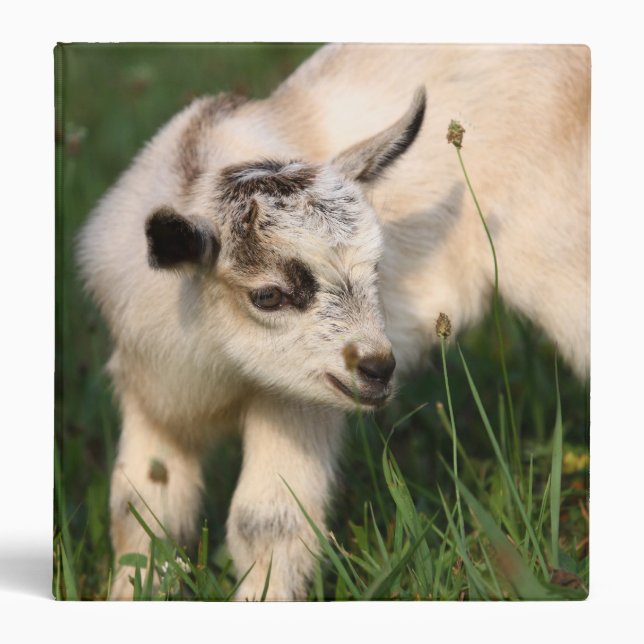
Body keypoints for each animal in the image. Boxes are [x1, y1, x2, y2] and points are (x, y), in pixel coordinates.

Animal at [77, 44, 590, 600]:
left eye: (377, 270)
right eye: (268, 295)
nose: (378, 368)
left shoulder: (296, 401)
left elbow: (267, 519)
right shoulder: (152, 395)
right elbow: (141, 512)